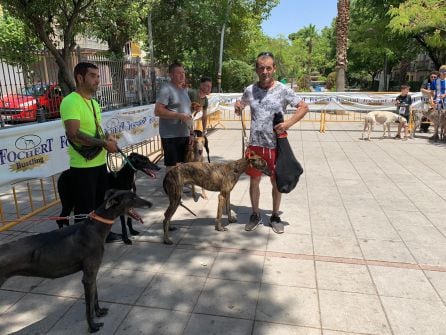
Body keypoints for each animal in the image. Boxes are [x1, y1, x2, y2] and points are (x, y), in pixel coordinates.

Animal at [0, 189, 152, 334]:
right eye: (133, 197)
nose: (150, 204)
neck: (95, 228)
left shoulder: (92, 274)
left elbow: (95, 297)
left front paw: (99, 312)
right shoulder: (88, 277)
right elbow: (88, 306)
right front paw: (92, 327)